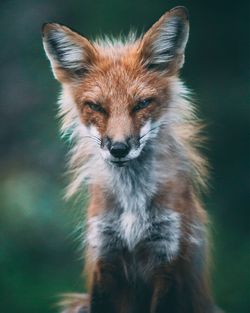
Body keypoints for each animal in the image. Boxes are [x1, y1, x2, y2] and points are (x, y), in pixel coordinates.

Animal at [42, 5, 220, 312]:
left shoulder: (169, 259)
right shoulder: (104, 255)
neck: (132, 205)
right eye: (96, 107)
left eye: (142, 104)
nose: (118, 148)